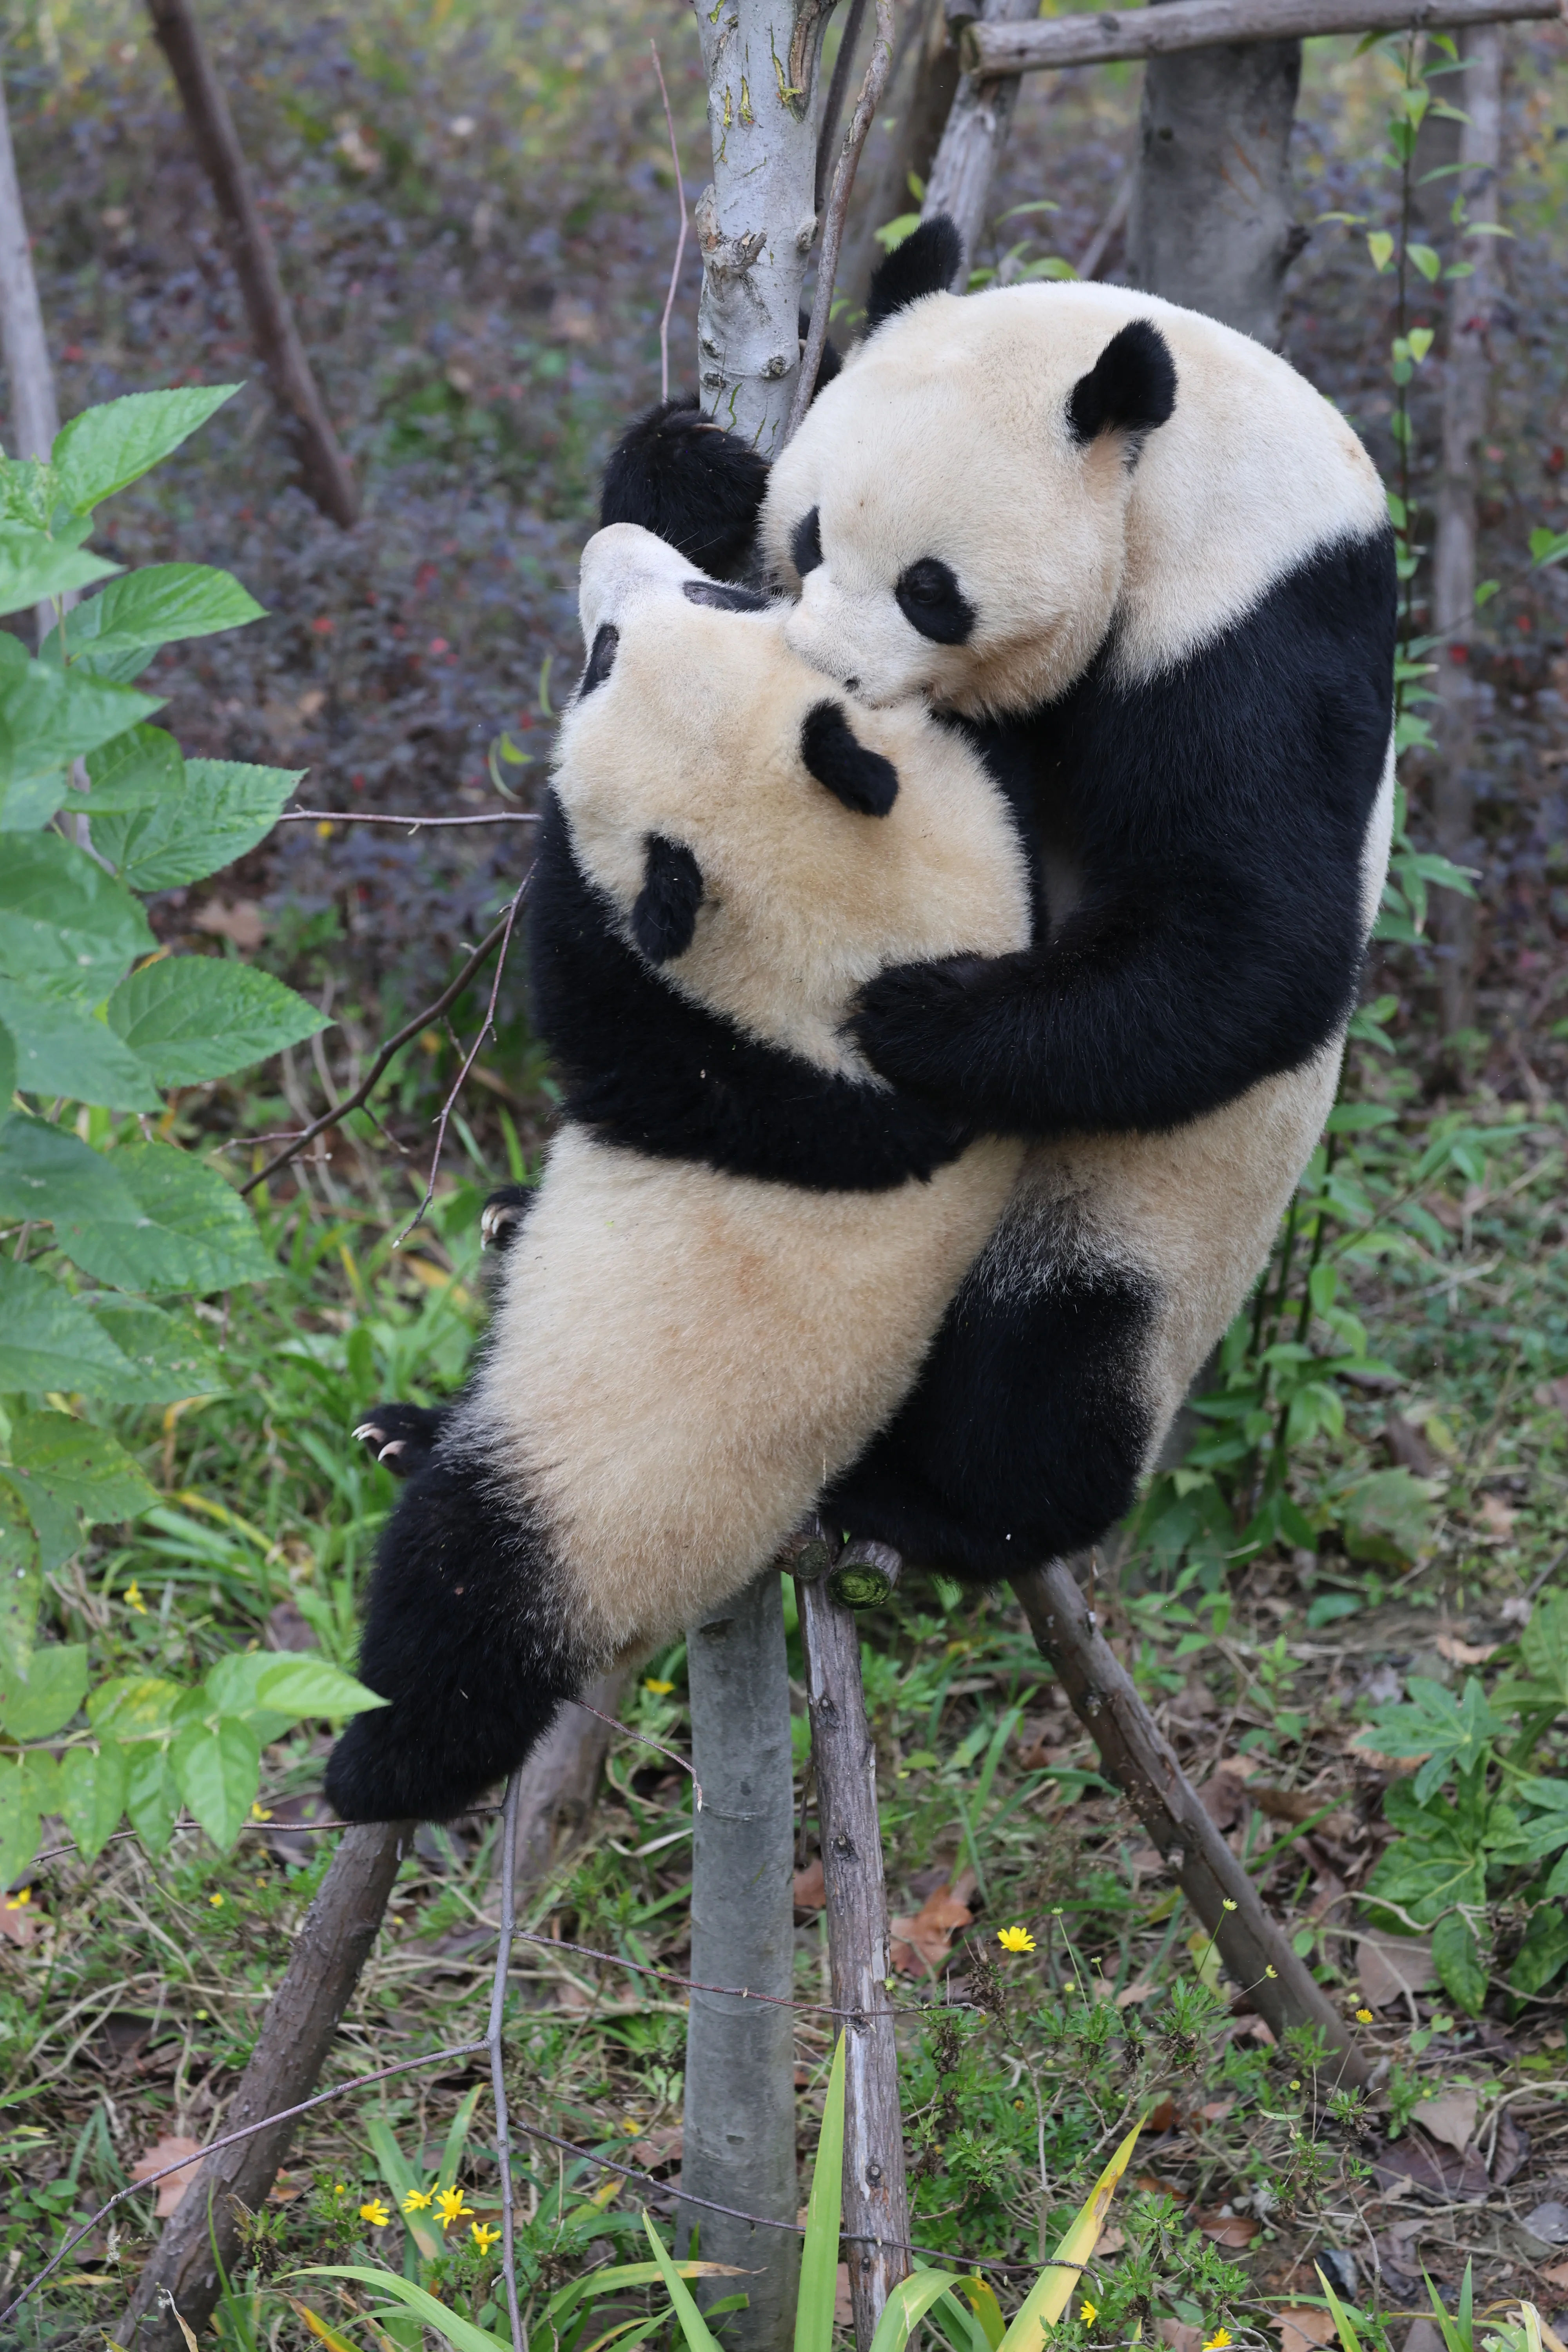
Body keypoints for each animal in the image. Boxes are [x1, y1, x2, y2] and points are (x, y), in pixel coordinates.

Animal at [324, 523, 1031, 1823]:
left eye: (597, 658)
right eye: (726, 588)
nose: (605, 545)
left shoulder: (740, 1066)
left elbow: (592, 993)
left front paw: (554, 835)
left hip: (605, 1495)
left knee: (474, 1599)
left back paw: (379, 1762)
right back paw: (410, 1415)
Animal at [593, 218, 1398, 1581]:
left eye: (931, 588)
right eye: (809, 537)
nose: (825, 666)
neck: (1169, 460)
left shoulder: (1253, 629)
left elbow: (1250, 932)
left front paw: (918, 1016)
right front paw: (687, 474)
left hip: (1136, 1215)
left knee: (1052, 1356)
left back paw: (943, 1503)